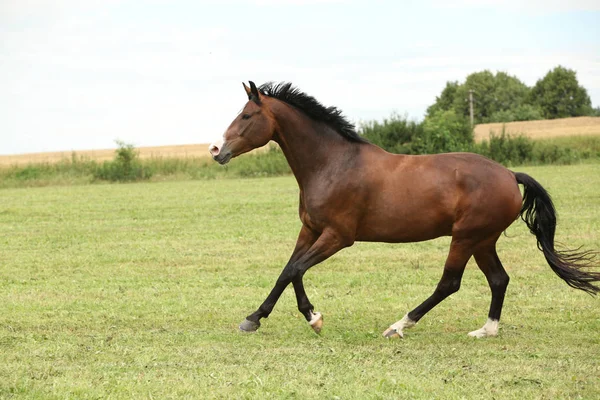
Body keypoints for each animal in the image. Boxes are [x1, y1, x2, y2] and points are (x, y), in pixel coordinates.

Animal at [209, 81, 596, 338]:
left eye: (246, 115)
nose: (216, 150)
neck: (332, 163)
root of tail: (509, 174)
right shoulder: (311, 229)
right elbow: (288, 271)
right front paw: (264, 317)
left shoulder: (337, 236)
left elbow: (295, 270)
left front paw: (307, 318)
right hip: (483, 241)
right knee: (499, 279)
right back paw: (485, 331)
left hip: (466, 237)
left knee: (450, 283)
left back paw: (399, 325)